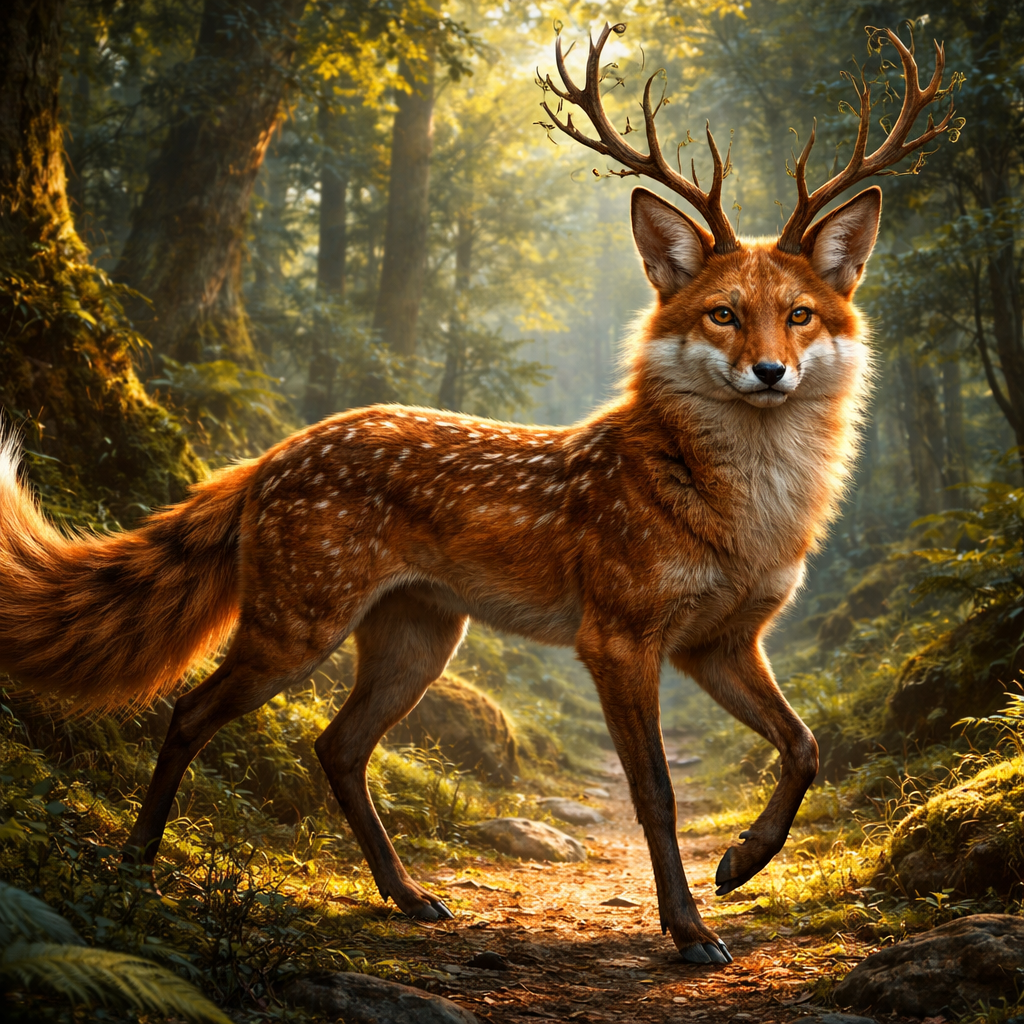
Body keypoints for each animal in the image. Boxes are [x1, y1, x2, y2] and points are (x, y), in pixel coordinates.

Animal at [0, 22, 956, 965]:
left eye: (799, 315)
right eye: (723, 314)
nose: (768, 373)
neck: (741, 515)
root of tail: (274, 452)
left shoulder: (719, 643)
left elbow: (804, 748)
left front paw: (742, 863)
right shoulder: (619, 641)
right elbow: (655, 793)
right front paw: (688, 931)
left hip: (418, 642)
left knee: (335, 747)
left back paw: (408, 896)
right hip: (297, 632)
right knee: (190, 713)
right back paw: (136, 864)